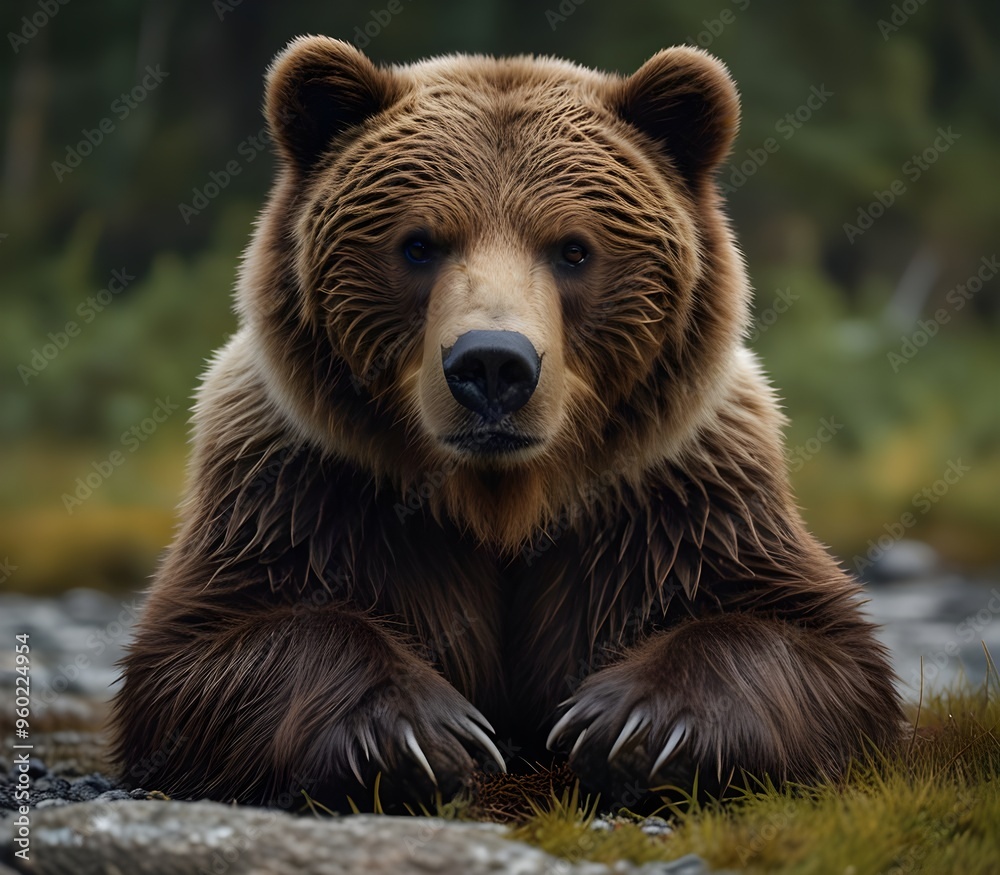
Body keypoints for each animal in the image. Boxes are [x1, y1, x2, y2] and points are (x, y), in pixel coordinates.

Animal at [111, 36, 903, 809]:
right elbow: (208, 645)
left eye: (573, 248)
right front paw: (418, 734)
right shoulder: (304, 488)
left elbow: (808, 639)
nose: (492, 364)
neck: (502, 497)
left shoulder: (681, 497)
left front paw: (635, 727)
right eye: (419, 243)